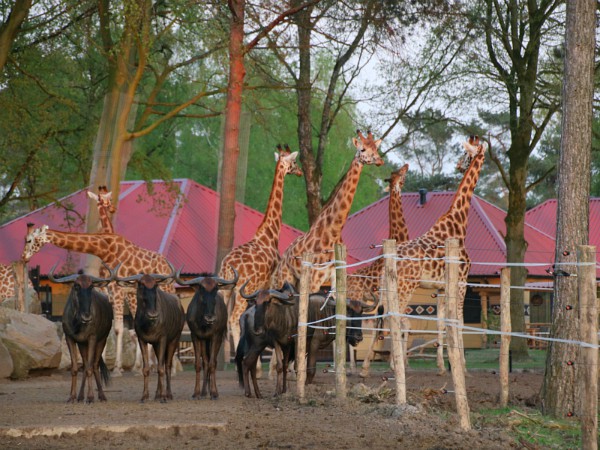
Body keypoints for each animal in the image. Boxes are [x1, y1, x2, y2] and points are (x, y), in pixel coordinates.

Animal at [21, 223, 175, 374]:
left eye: (29, 240)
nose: (23, 257)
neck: (104, 249)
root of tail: (167, 265)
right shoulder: (106, 290)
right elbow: (106, 325)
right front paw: (101, 365)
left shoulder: (117, 290)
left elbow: (118, 328)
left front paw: (117, 368)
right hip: (134, 294)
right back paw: (140, 366)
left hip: (165, 288)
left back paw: (168, 369)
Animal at [218, 146, 302, 356]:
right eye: (294, 162)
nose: (300, 172)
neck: (269, 235)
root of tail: (226, 267)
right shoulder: (267, 283)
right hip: (242, 289)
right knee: (234, 318)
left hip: (226, 289)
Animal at [272, 130, 384, 292]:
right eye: (362, 149)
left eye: (376, 149)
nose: (380, 161)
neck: (334, 232)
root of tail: (284, 256)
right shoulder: (314, 279)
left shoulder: (336, 278)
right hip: (285, 278)